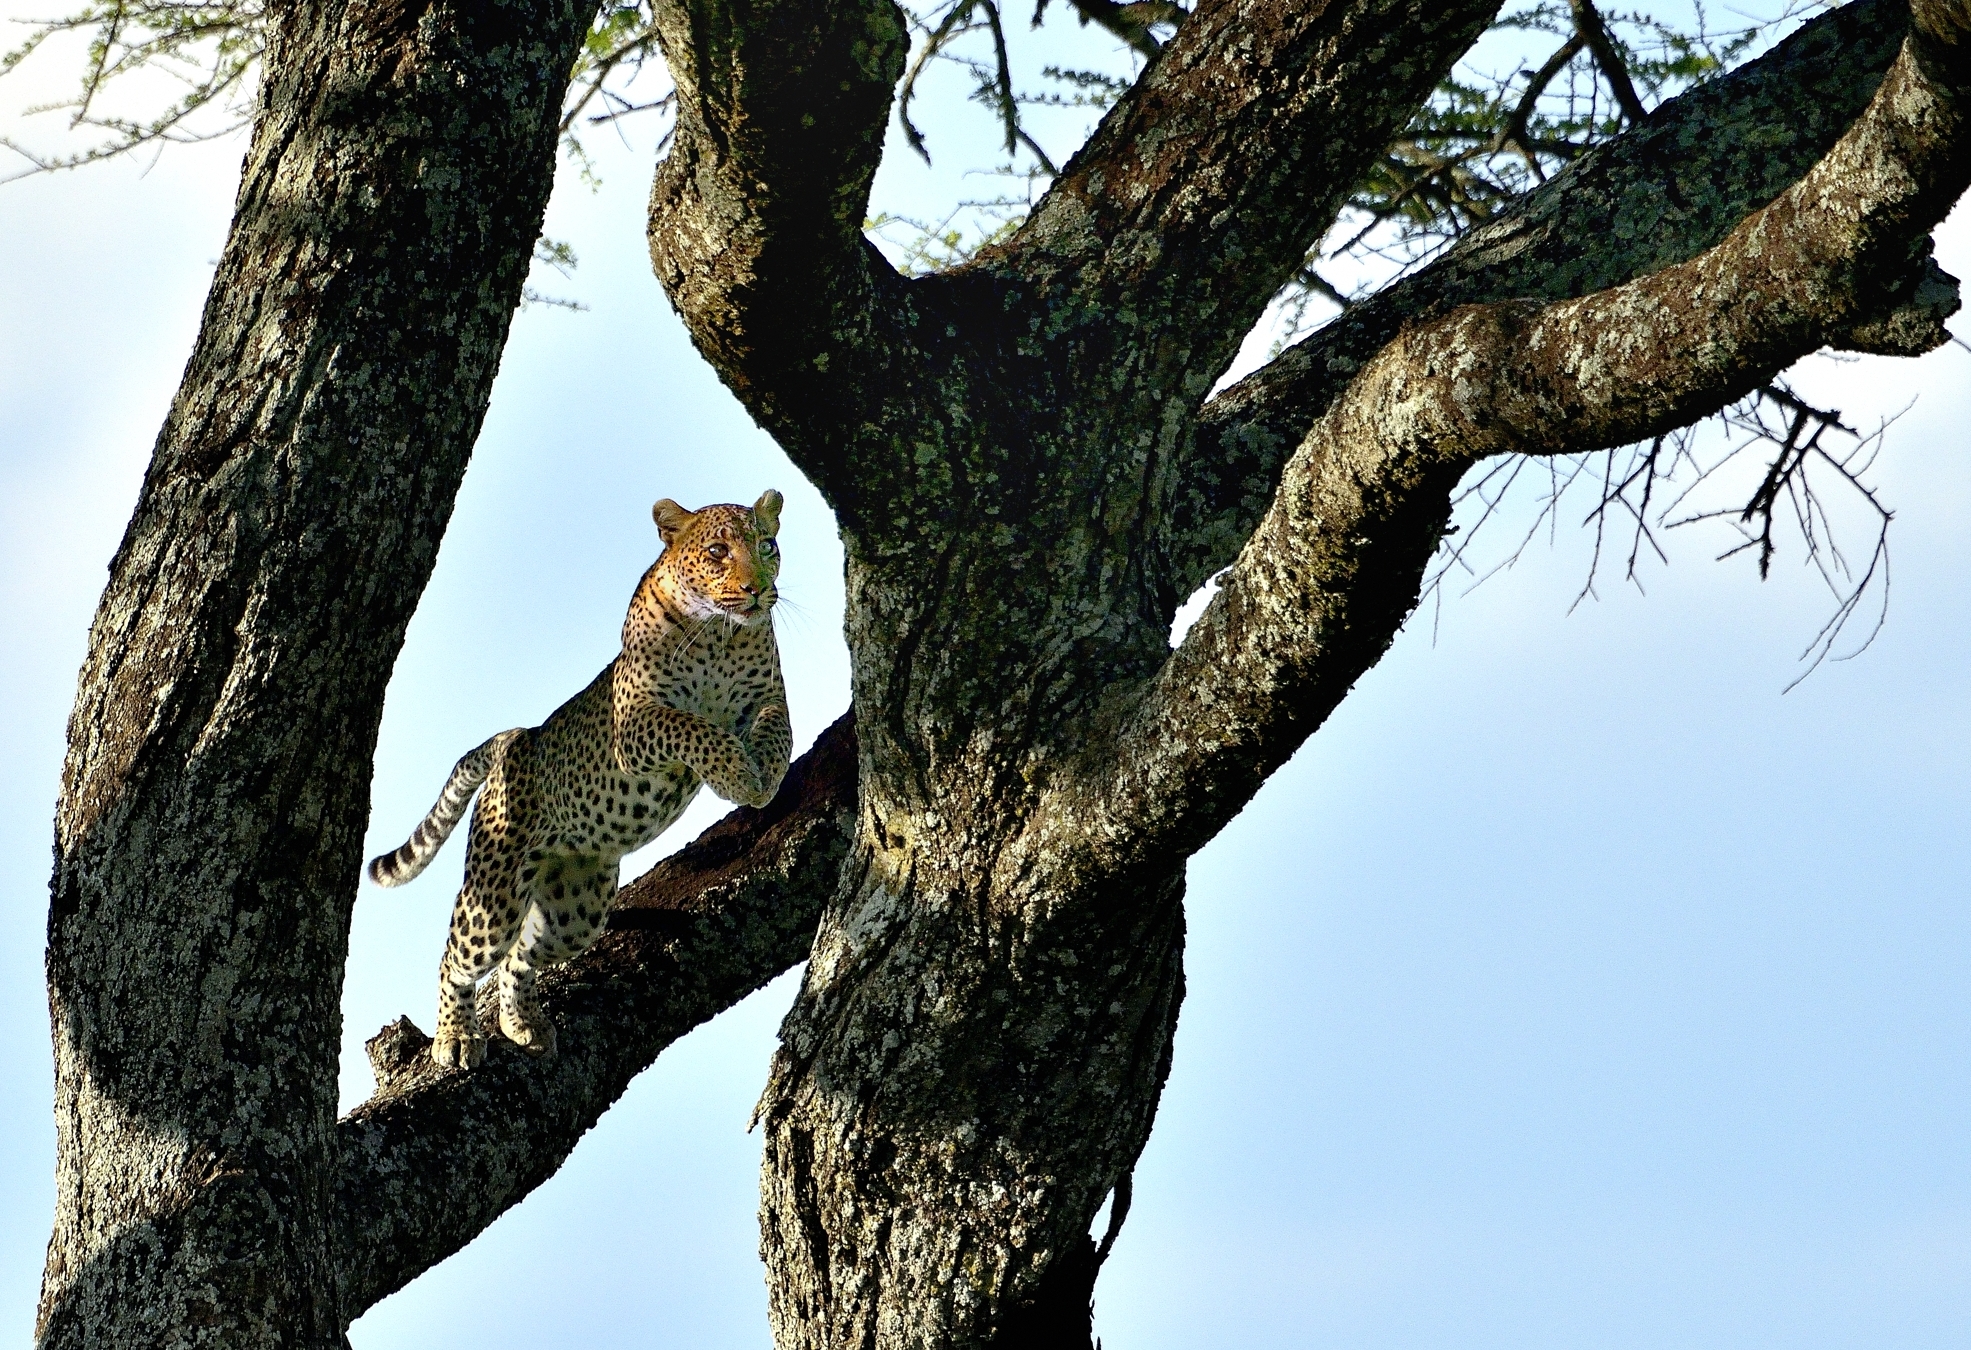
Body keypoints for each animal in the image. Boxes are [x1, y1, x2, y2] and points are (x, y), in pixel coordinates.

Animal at [366, 490, 792, 1069]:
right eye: (718, 551)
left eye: (767, 545)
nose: (757, 590)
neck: (720, 638)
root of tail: (519, 738)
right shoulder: (635, 724)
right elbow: (692, 726)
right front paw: (736, 774)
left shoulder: (767, 698)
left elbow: (777, 733)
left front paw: (763, 777)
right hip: (495, 892)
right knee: (458, 955)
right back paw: (455, 1037)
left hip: (577, 908)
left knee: (518, 958)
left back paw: (521, 1023)